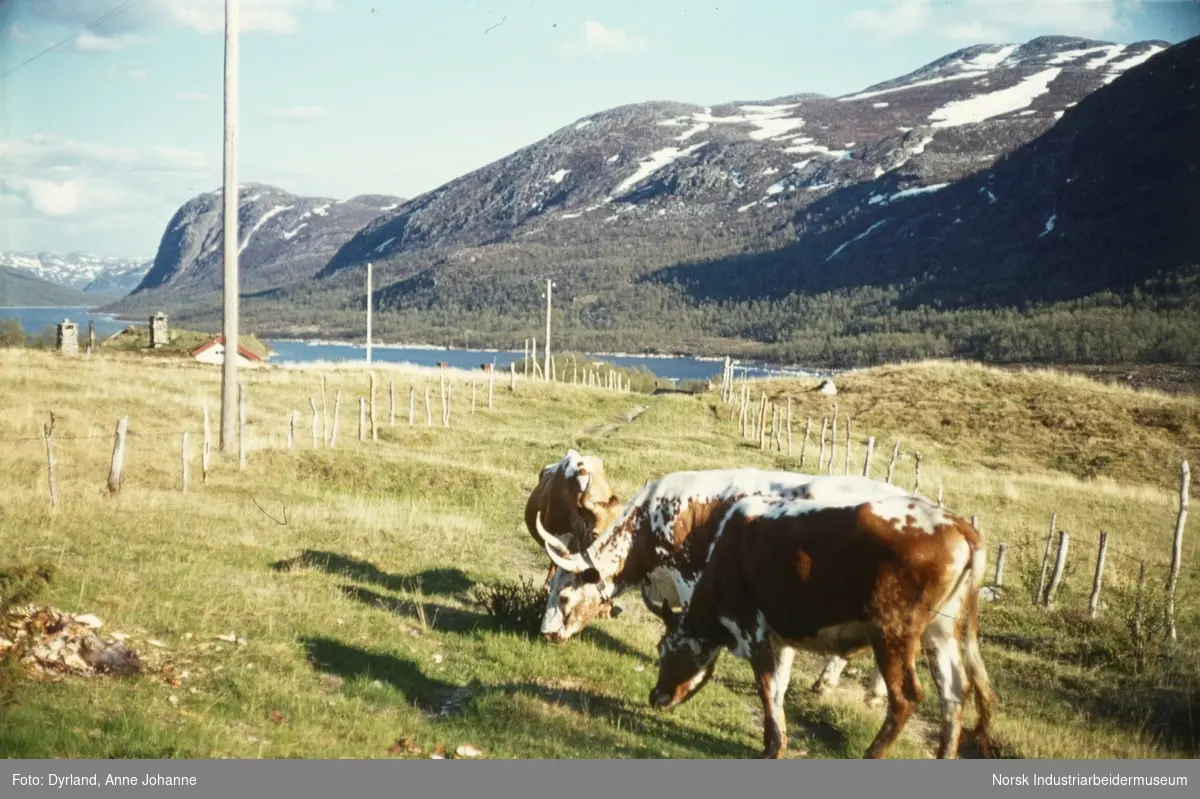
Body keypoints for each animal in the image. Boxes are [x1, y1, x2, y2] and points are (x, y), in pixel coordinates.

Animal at [648, 491, 993, 758]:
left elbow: (766, 685)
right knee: (953, 692)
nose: (655, 696)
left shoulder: (750, 625)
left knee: (905, 697)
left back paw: (873, 753)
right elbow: (780, 685)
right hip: (941, 632)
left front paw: (774, 748)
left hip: (893, 631)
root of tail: (953, 522)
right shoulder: (778, 637)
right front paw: (772, 740)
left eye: (664, 648)